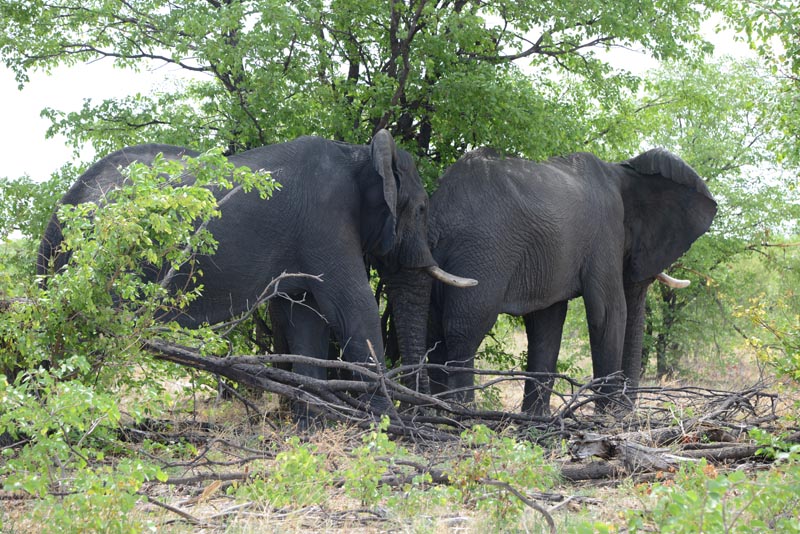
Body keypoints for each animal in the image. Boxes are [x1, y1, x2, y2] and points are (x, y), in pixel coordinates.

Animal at [36, 131, 475, 413]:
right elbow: (353, 306)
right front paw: (386, 423)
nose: (425, 412)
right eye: (421, 208)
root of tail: (58, 214)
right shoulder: (325, 221)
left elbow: (305, 317)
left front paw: (312, 421)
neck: (361, 154)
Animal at [385, 147, 717, 414]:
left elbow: (547, 322)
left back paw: (437, 409)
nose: (627, 410)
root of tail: (440, 209)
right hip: (483, 253)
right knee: (464, 328)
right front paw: (608, 418)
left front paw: (536, 420)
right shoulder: (604, 235)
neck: (622, 171)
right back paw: (460, 411)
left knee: (435, 331)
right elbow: (608, 312)